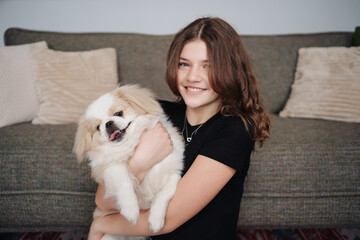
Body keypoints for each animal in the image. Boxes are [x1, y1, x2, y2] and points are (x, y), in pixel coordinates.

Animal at [74, 84, 184, 234]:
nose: (108, 123)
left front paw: (156, 219)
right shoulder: (111, 167)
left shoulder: (173, 171)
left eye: (118, 113)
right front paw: (130, 210)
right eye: (97, 127)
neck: (131, 143)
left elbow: (164, 194)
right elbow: (124, 182)